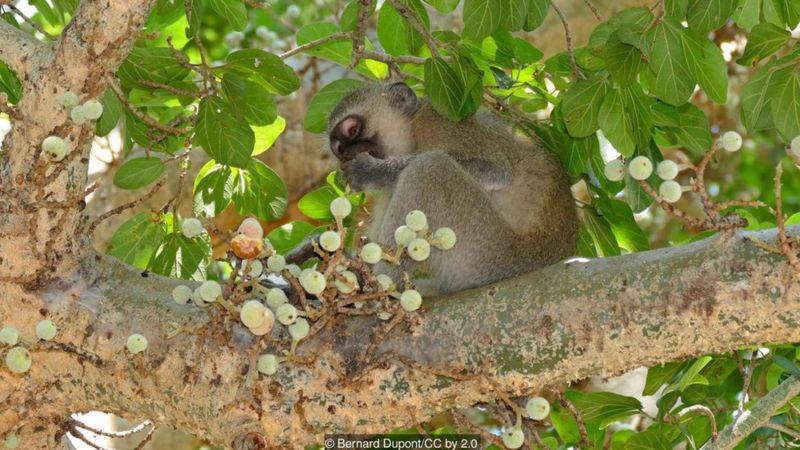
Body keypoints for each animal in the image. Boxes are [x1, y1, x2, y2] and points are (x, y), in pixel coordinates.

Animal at [324, 81, 576, 296]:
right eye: (339, 148)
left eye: (352, 130)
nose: (346, 153)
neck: (414, 134)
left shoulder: (441, 121)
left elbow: (497, 172)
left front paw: (372, 171)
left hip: (489, 255)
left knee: (430, 167)